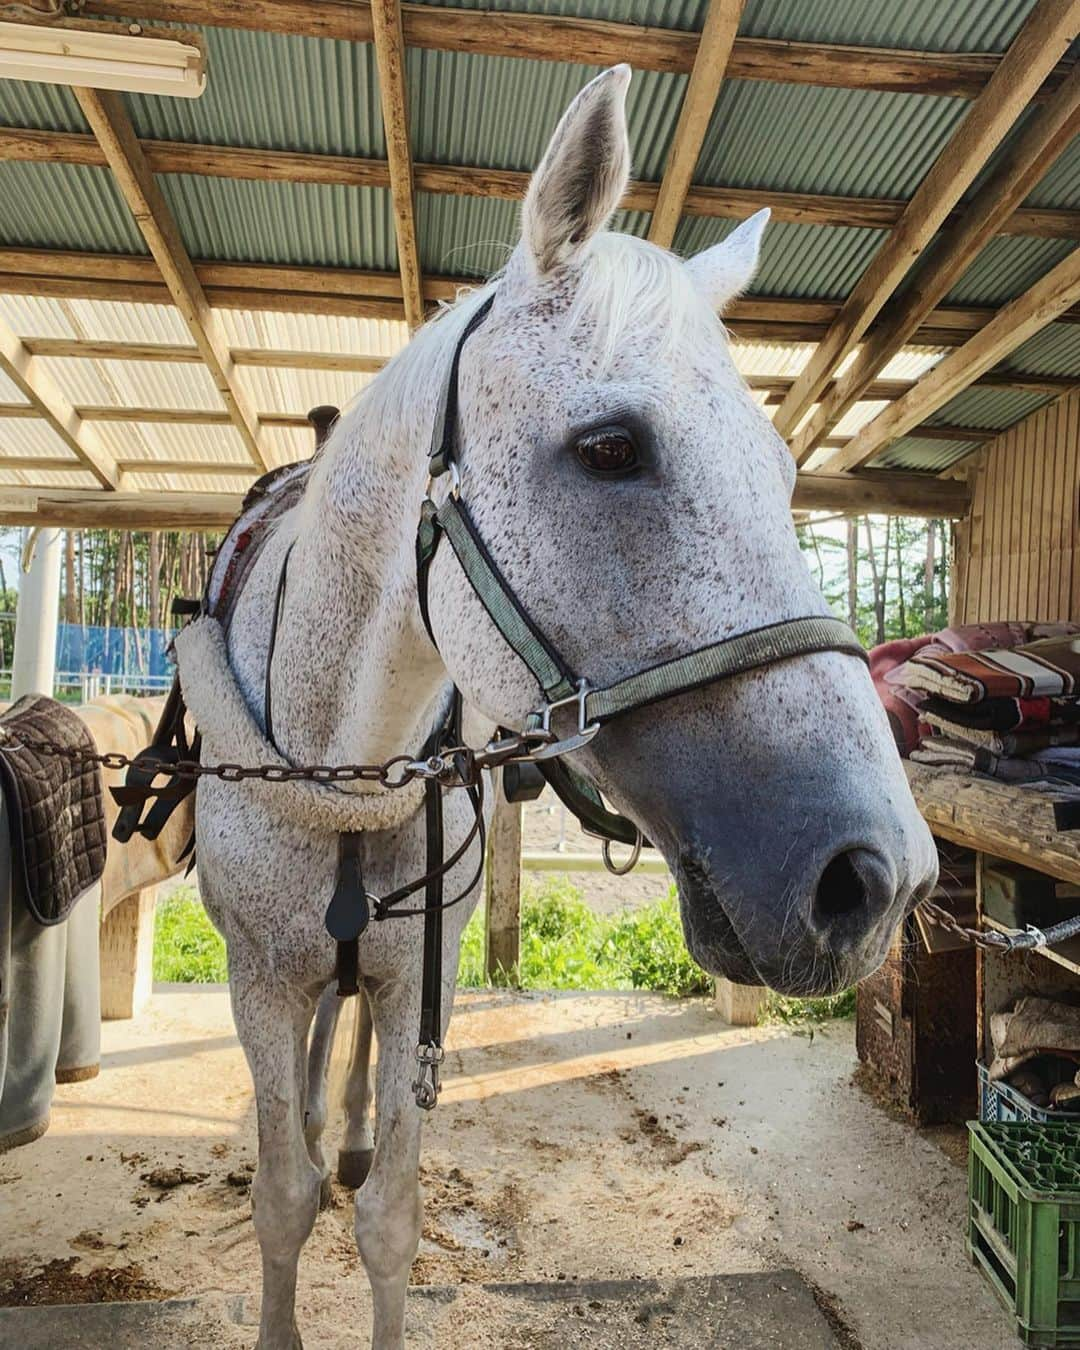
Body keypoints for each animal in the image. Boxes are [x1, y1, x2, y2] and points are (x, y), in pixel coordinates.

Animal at [176, 68, 934, 1350]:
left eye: (785, 475)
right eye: (610, 447)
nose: (880, 877)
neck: (337, 759)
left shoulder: (409, 975)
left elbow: (388, 1219)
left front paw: (367, 1169)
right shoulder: (259, 979)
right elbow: (282, 1199)